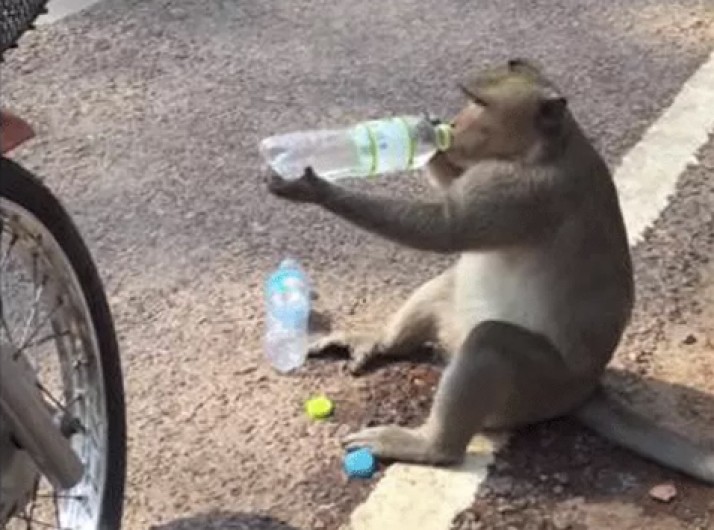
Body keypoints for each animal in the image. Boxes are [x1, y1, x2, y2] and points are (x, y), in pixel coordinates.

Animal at [267, 58, 714, 483]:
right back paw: (380, 343)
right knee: (447, 285)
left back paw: (429, 445)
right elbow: (451, 189)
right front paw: (428, 135)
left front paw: (315, 187)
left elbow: (447, 228)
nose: (451, 123)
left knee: (491, 342)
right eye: (469, 100)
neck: (549, 147)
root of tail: (586, 388)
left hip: (540, 387)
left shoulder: (525, 191)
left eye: (480, 104)